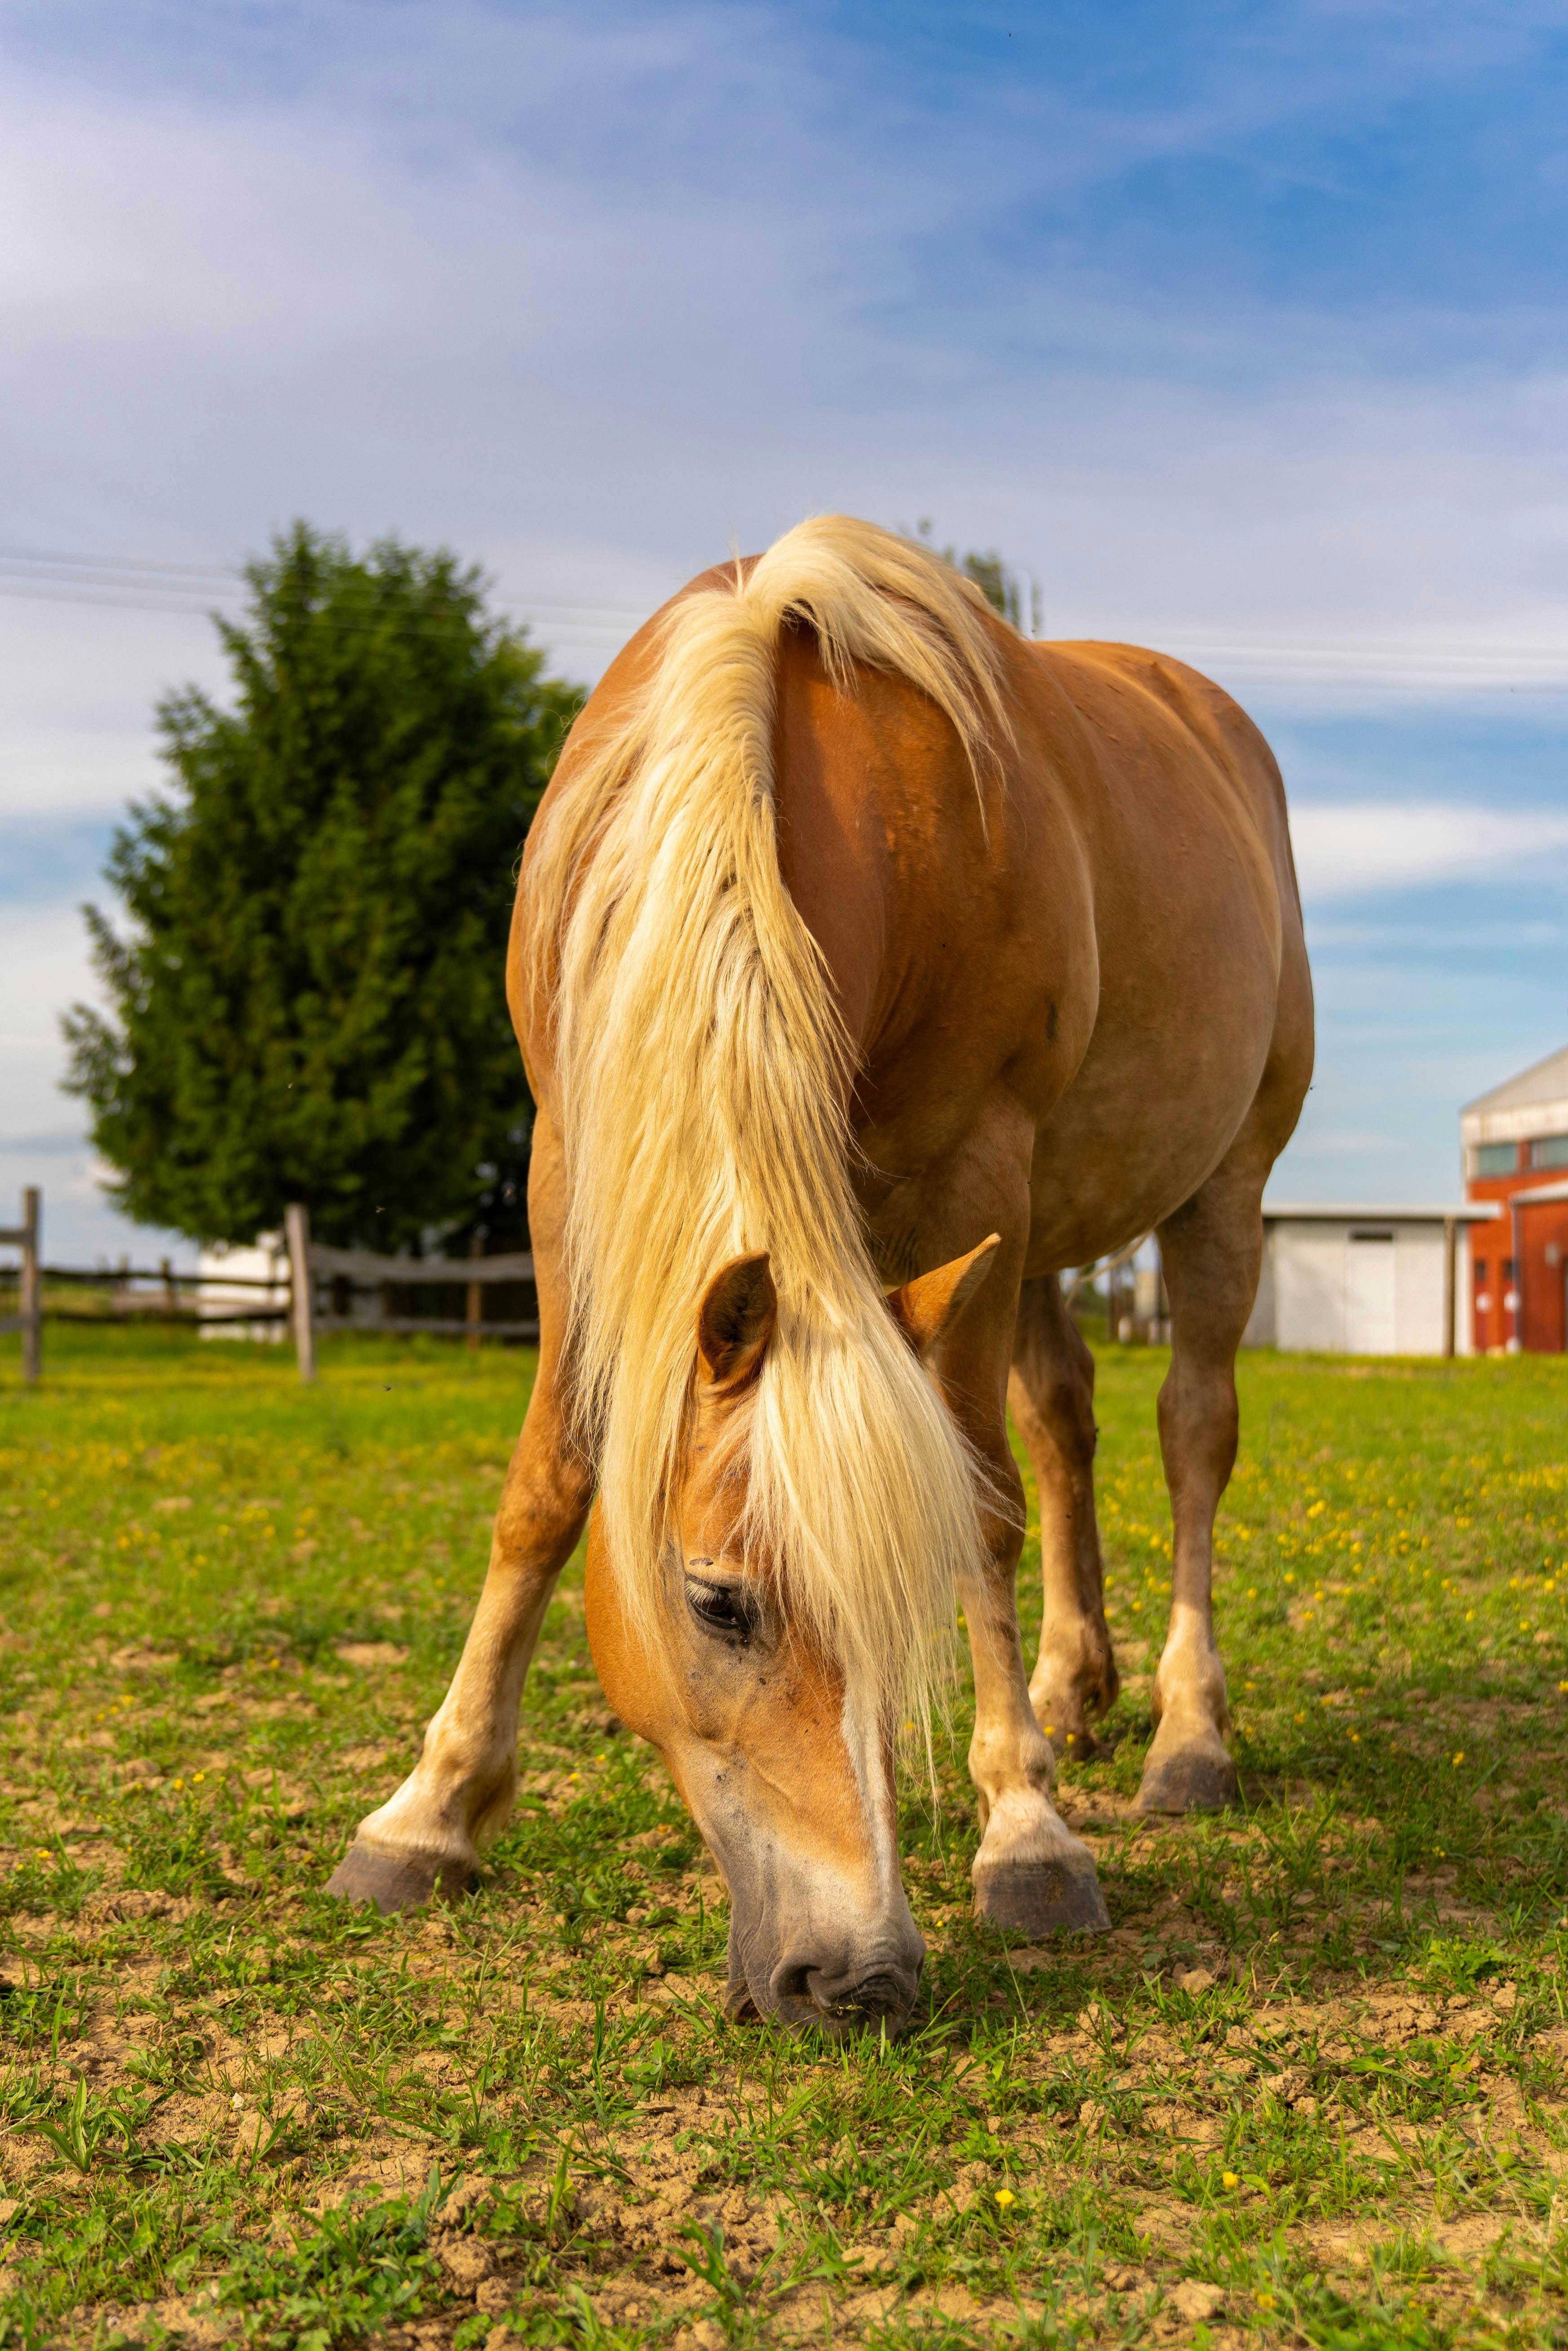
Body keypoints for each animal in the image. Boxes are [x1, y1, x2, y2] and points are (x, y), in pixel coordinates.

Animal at [327, 516, 1313, 2039]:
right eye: (715, 1601)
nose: (859, 1976)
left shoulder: (977, 1170)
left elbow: (977, 1512)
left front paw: (1024, 1833)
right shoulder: (567, 1164)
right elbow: (547, 1485)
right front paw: (426, 1812)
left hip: (1212, 1192)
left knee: (1189, 1433)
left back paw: (1185, 1737)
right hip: (1032, 1243)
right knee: (1063, 1419)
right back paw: (1071, 1686)